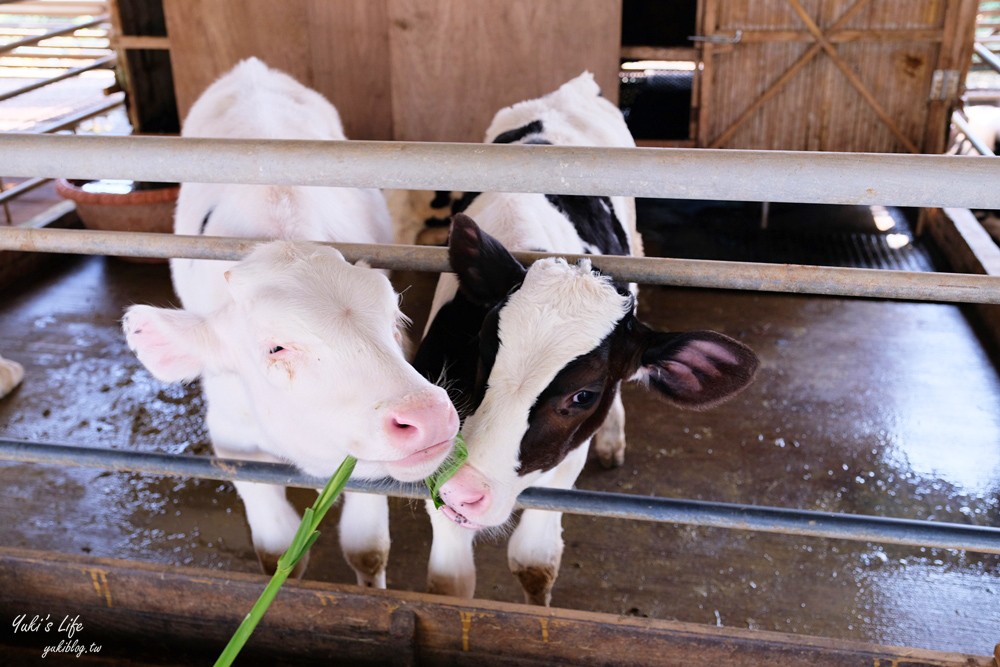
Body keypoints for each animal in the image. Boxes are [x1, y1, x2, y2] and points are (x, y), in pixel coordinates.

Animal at [406, 73, 756, 604]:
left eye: (584, 394)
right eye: (483, 354)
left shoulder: (566, 461)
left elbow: (534, 562)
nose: (464, 490)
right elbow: (449, 583)